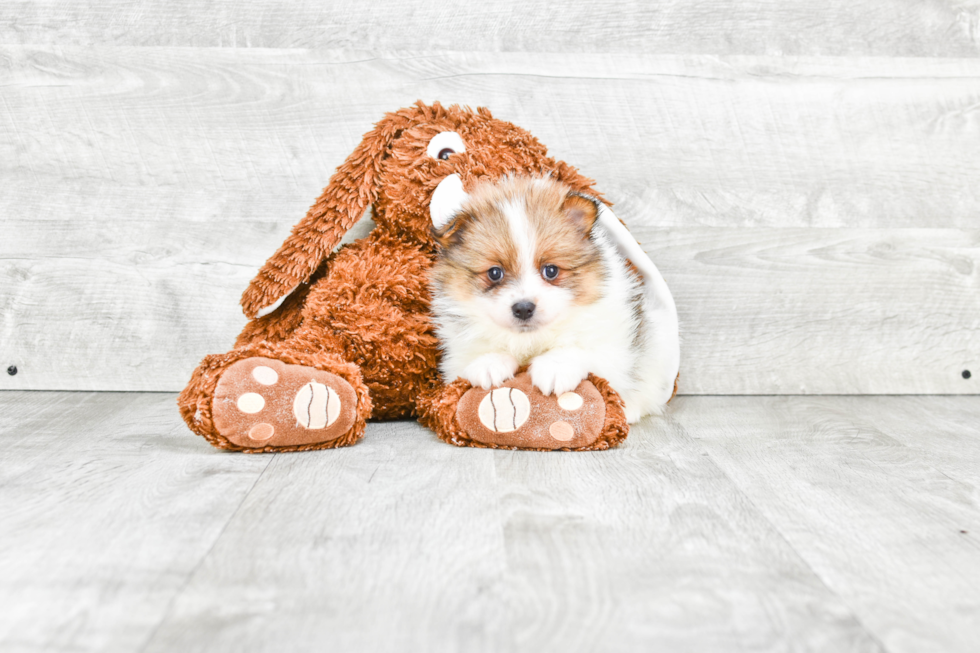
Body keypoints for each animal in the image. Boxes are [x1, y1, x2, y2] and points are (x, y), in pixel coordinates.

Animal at [432, 177, 676, 422]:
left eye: (551, 270)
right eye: (494, 273)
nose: (523, 308)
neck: (531, 340)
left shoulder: (614, 349)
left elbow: (581, 350)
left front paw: (555, 366)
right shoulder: (454, 359)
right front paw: (489, 362)